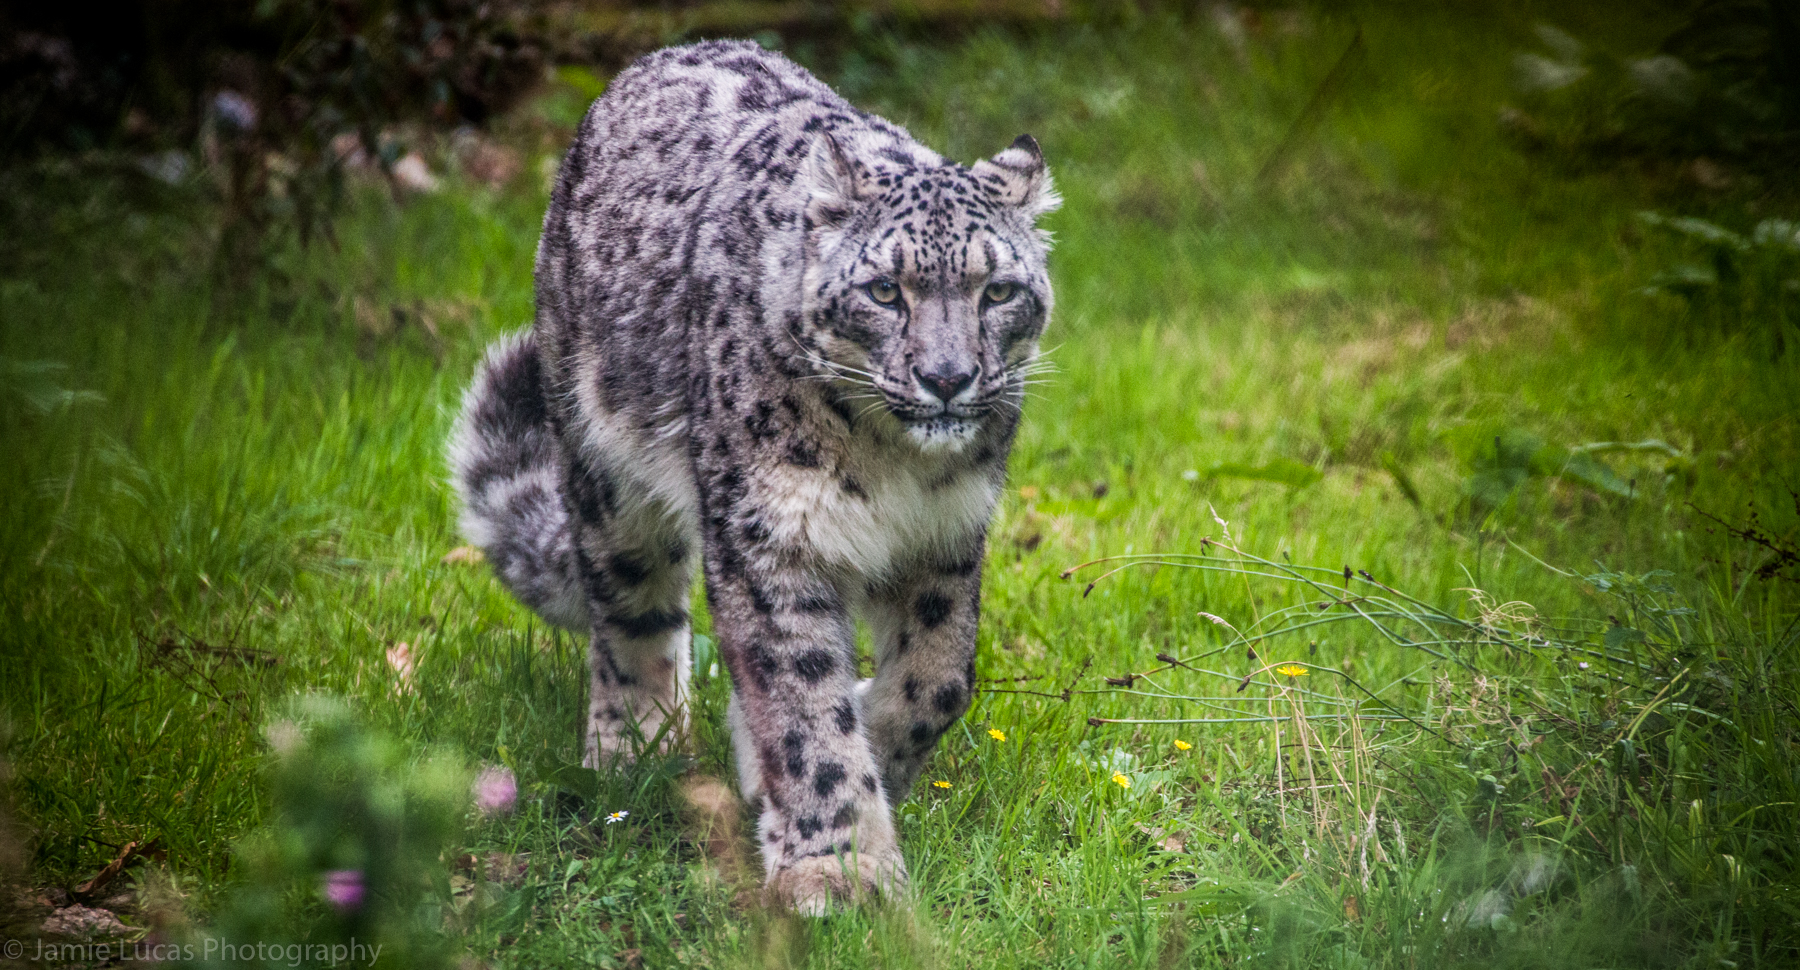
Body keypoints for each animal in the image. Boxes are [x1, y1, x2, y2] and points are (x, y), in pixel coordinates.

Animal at [447, 39, 1057, 913]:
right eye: (884, 290)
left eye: (998, 289)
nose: (947, 378)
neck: (892, 462)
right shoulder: (771, 539)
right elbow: (803, 705)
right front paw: (836, 869)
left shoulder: (947, 537)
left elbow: (937, 679)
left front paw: (855, 755)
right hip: (606, 473)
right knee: (628, 614)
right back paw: (629, 750)